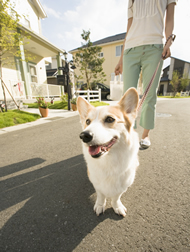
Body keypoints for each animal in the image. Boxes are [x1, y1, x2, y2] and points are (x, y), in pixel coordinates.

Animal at [77, 87, 140, 216]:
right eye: (87, 121)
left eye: (110, 119)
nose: (84, 135)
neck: (109, 159)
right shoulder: (97, 183)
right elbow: (101, 195)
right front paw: (100, 205)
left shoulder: (123, 185)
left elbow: (116, 197)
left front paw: (117, 206)